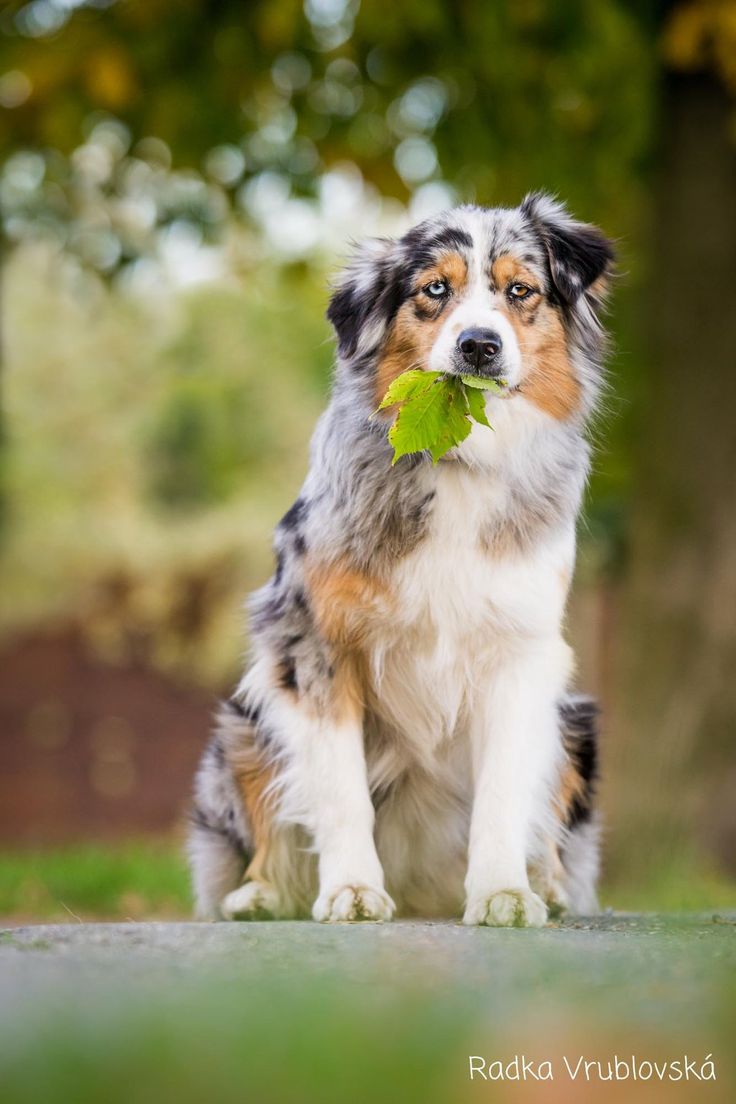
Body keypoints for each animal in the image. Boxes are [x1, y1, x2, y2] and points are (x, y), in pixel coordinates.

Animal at [187, 194, 613, 927]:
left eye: (520, 291)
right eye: (434, 290)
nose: (480, 345)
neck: (459, 456)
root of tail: (423, 889)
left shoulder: (520, 653)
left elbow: (503, 792)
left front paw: (503, 892)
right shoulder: (315, 646)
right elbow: (340, 791)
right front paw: (352, 890)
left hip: (573, 720)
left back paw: (549, 886)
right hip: (243, 721)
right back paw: (263, 893)